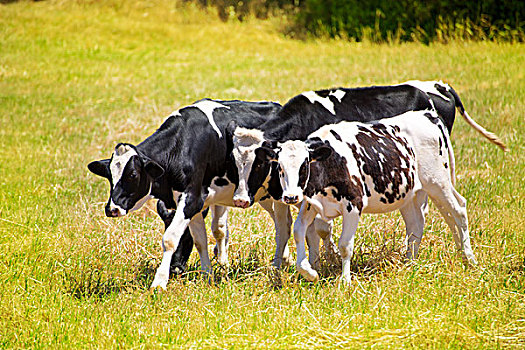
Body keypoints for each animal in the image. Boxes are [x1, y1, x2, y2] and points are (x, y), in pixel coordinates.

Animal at [229, 81, 504, 266]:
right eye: (234, 162)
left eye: (259, 164)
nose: (240, 199)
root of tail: (439, 86)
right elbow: (293, 228)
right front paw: (291, 265)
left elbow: (320, 229)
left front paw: (326, 261)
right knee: (423, 217)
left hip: (437, 179)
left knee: (455, 210)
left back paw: (467, 257)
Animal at [256, 110, 476, 284]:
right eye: (280, 168)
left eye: (304, 166)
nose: (290, 197)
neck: (332, 163)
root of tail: (428, 115)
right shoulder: (312, 204)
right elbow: (299, 231)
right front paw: (310, 272)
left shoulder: (353, 205)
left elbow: (345, 245)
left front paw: (345, 280)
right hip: (411, 193)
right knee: (417, 225)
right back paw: (410, 263)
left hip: (438, 182)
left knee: (458, 211)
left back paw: (468, 258)